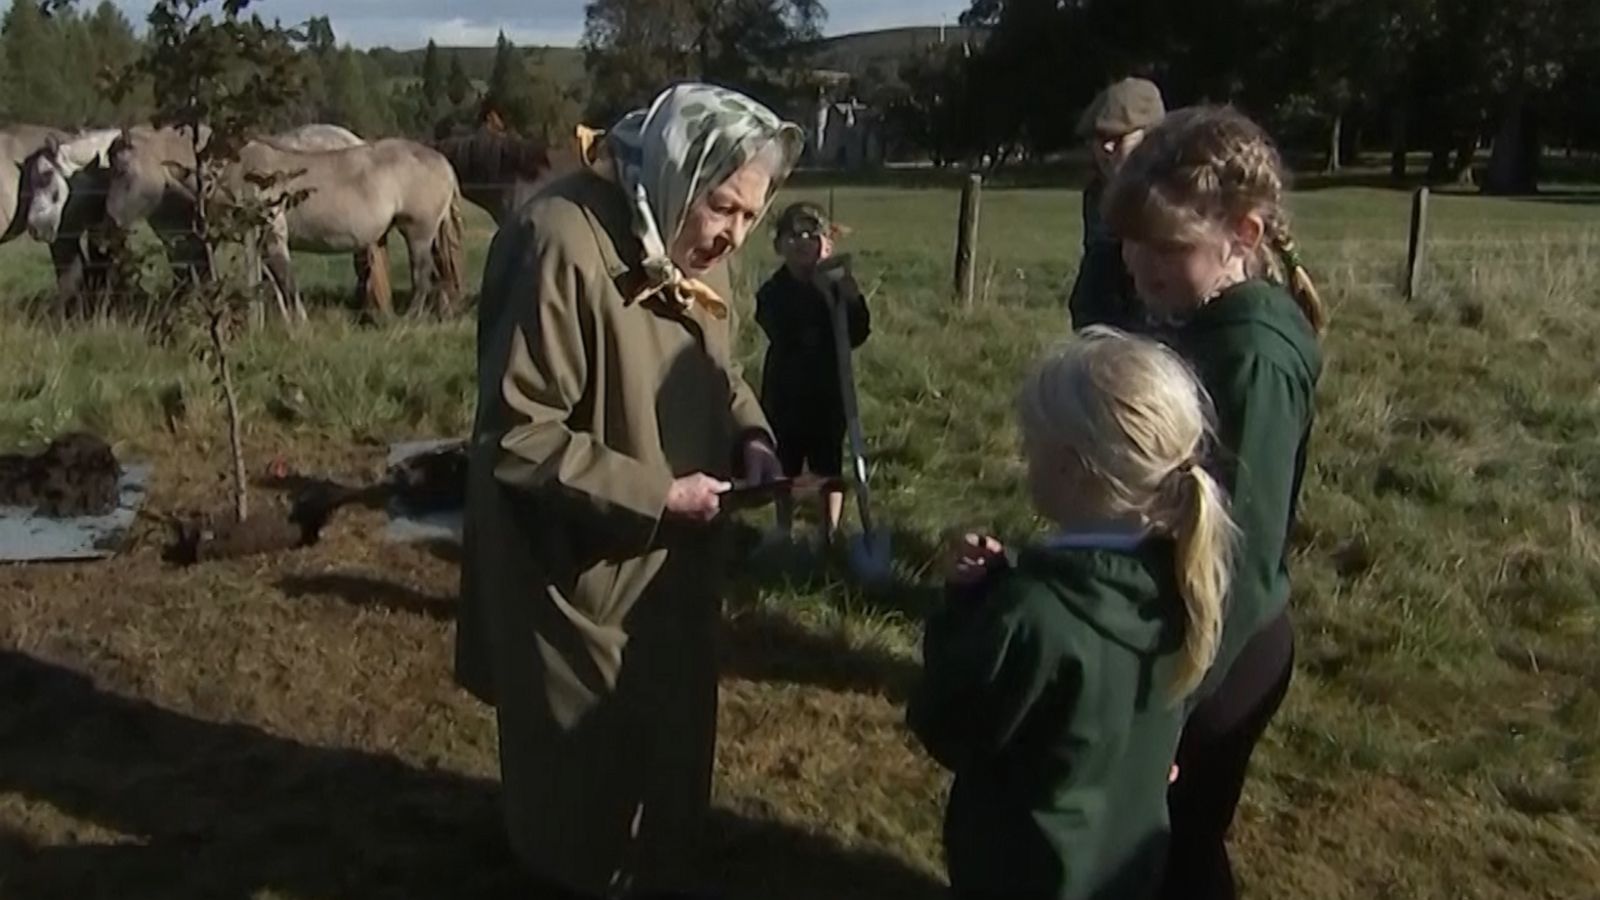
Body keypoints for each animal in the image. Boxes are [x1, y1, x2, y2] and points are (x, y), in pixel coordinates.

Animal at [107, 129, 467, 318]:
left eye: (124, 171)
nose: (111, 219)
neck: (229, 167)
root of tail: (443, 161)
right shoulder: (254, 238)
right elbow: (267, 283)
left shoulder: (271, 232)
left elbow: (286, 280)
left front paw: (300, 325)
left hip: (418, 233)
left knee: (422, 279)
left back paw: (410, 320)